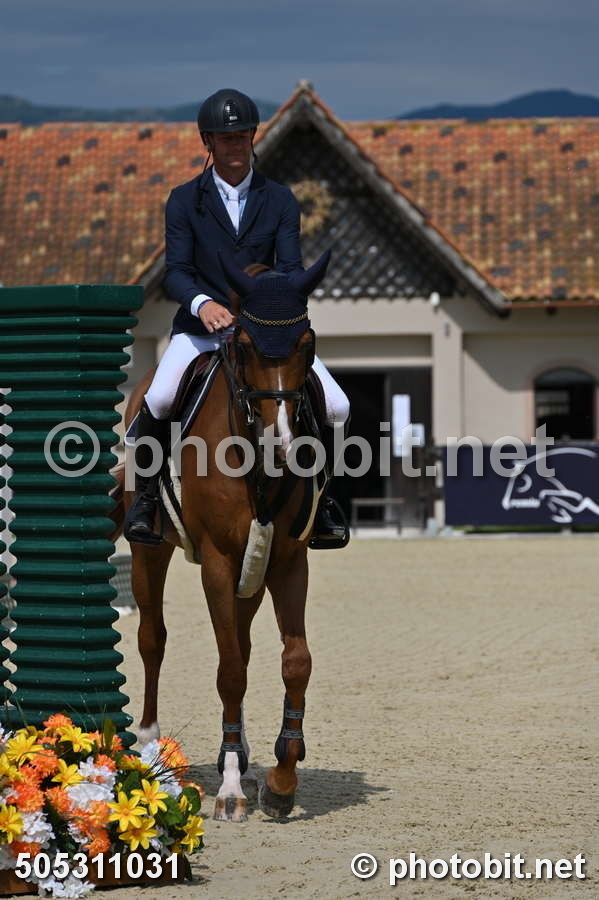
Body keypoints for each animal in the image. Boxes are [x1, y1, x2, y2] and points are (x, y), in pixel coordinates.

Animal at [109, 250, 332, 821]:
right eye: (245, 345)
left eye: (307, 344)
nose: (282, 447)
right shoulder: (216, 561)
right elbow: (229, 669)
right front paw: (231, 789)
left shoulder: (287, 561)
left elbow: (294, 662)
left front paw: (280, 780)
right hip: (149, 552)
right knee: (153, 639)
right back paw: (150, 746)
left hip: (250, 573)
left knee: (246, 645)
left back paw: (248, 758)